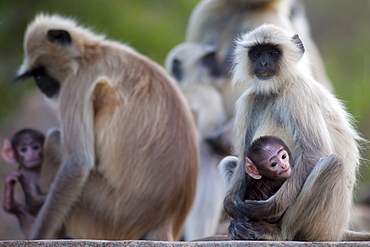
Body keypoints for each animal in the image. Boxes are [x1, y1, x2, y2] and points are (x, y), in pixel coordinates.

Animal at [13, 13, 199, 239]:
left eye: (40, 72)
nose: (40, 84)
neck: (89, 54)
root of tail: (167, 218)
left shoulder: (76, 83)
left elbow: (78, 163)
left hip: (108, 216)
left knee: (55, 138)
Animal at [220, 23, 370, 241]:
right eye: (256, 53)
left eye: (273, 53)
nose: (263, 63)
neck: (275, 90)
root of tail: (340, 230)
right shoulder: (251, 98)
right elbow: (243, 158)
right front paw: (232, 206)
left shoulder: (297, 92)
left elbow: (315, 152)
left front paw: (264, 209)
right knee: (228, 162)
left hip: (325, 226)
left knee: (332, 164)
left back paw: (276, 232)